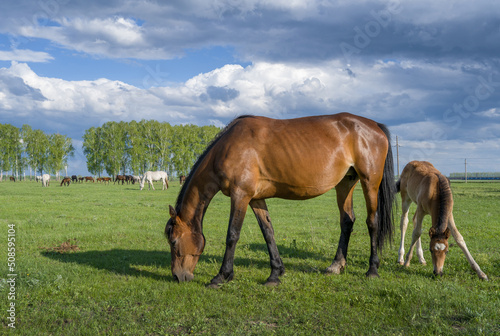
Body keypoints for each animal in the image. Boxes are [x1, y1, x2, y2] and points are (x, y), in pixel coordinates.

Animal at [164, 113, 394, 286]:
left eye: (173, 241)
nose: (177, 276)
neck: (228, 147)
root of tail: (374, 125)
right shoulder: (255, 199)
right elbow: (268, 233)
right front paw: (275, 273)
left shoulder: (240, 195)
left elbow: (232, 235)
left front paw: (222, 276)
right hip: (346, 183)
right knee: (347, 221)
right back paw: (336, 265)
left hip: (369, 182)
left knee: (372, 222)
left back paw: (372, 269)